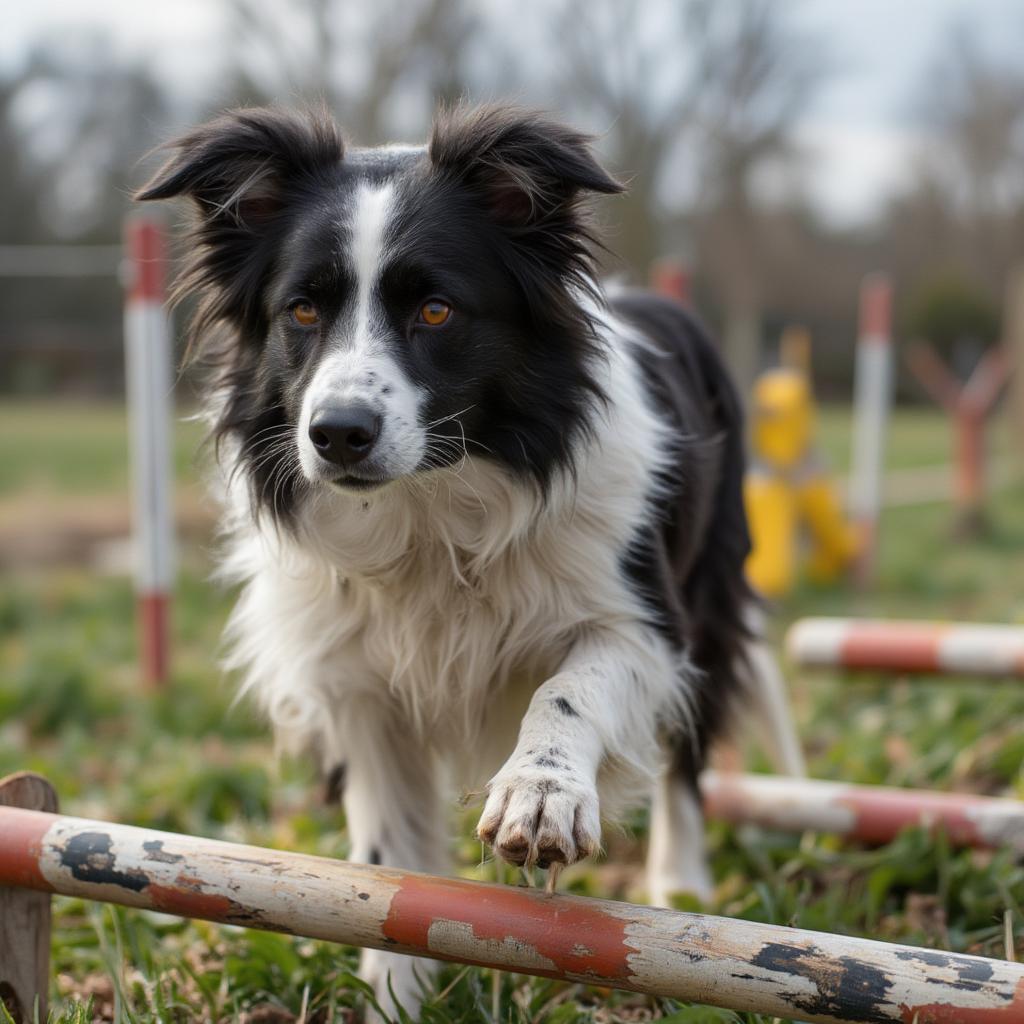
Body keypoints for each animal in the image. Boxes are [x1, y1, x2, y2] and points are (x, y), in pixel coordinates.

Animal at [140, 103, 782, 1015]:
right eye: (301, 311)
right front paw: (394, 997)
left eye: (437, 311)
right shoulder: (356, 687)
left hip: (713, 596)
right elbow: (390, 870)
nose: (337, 434)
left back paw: (681, 886)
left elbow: (568, 690)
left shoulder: (648, 623)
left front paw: (540, 797)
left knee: (685, 761)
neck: (432, 504)